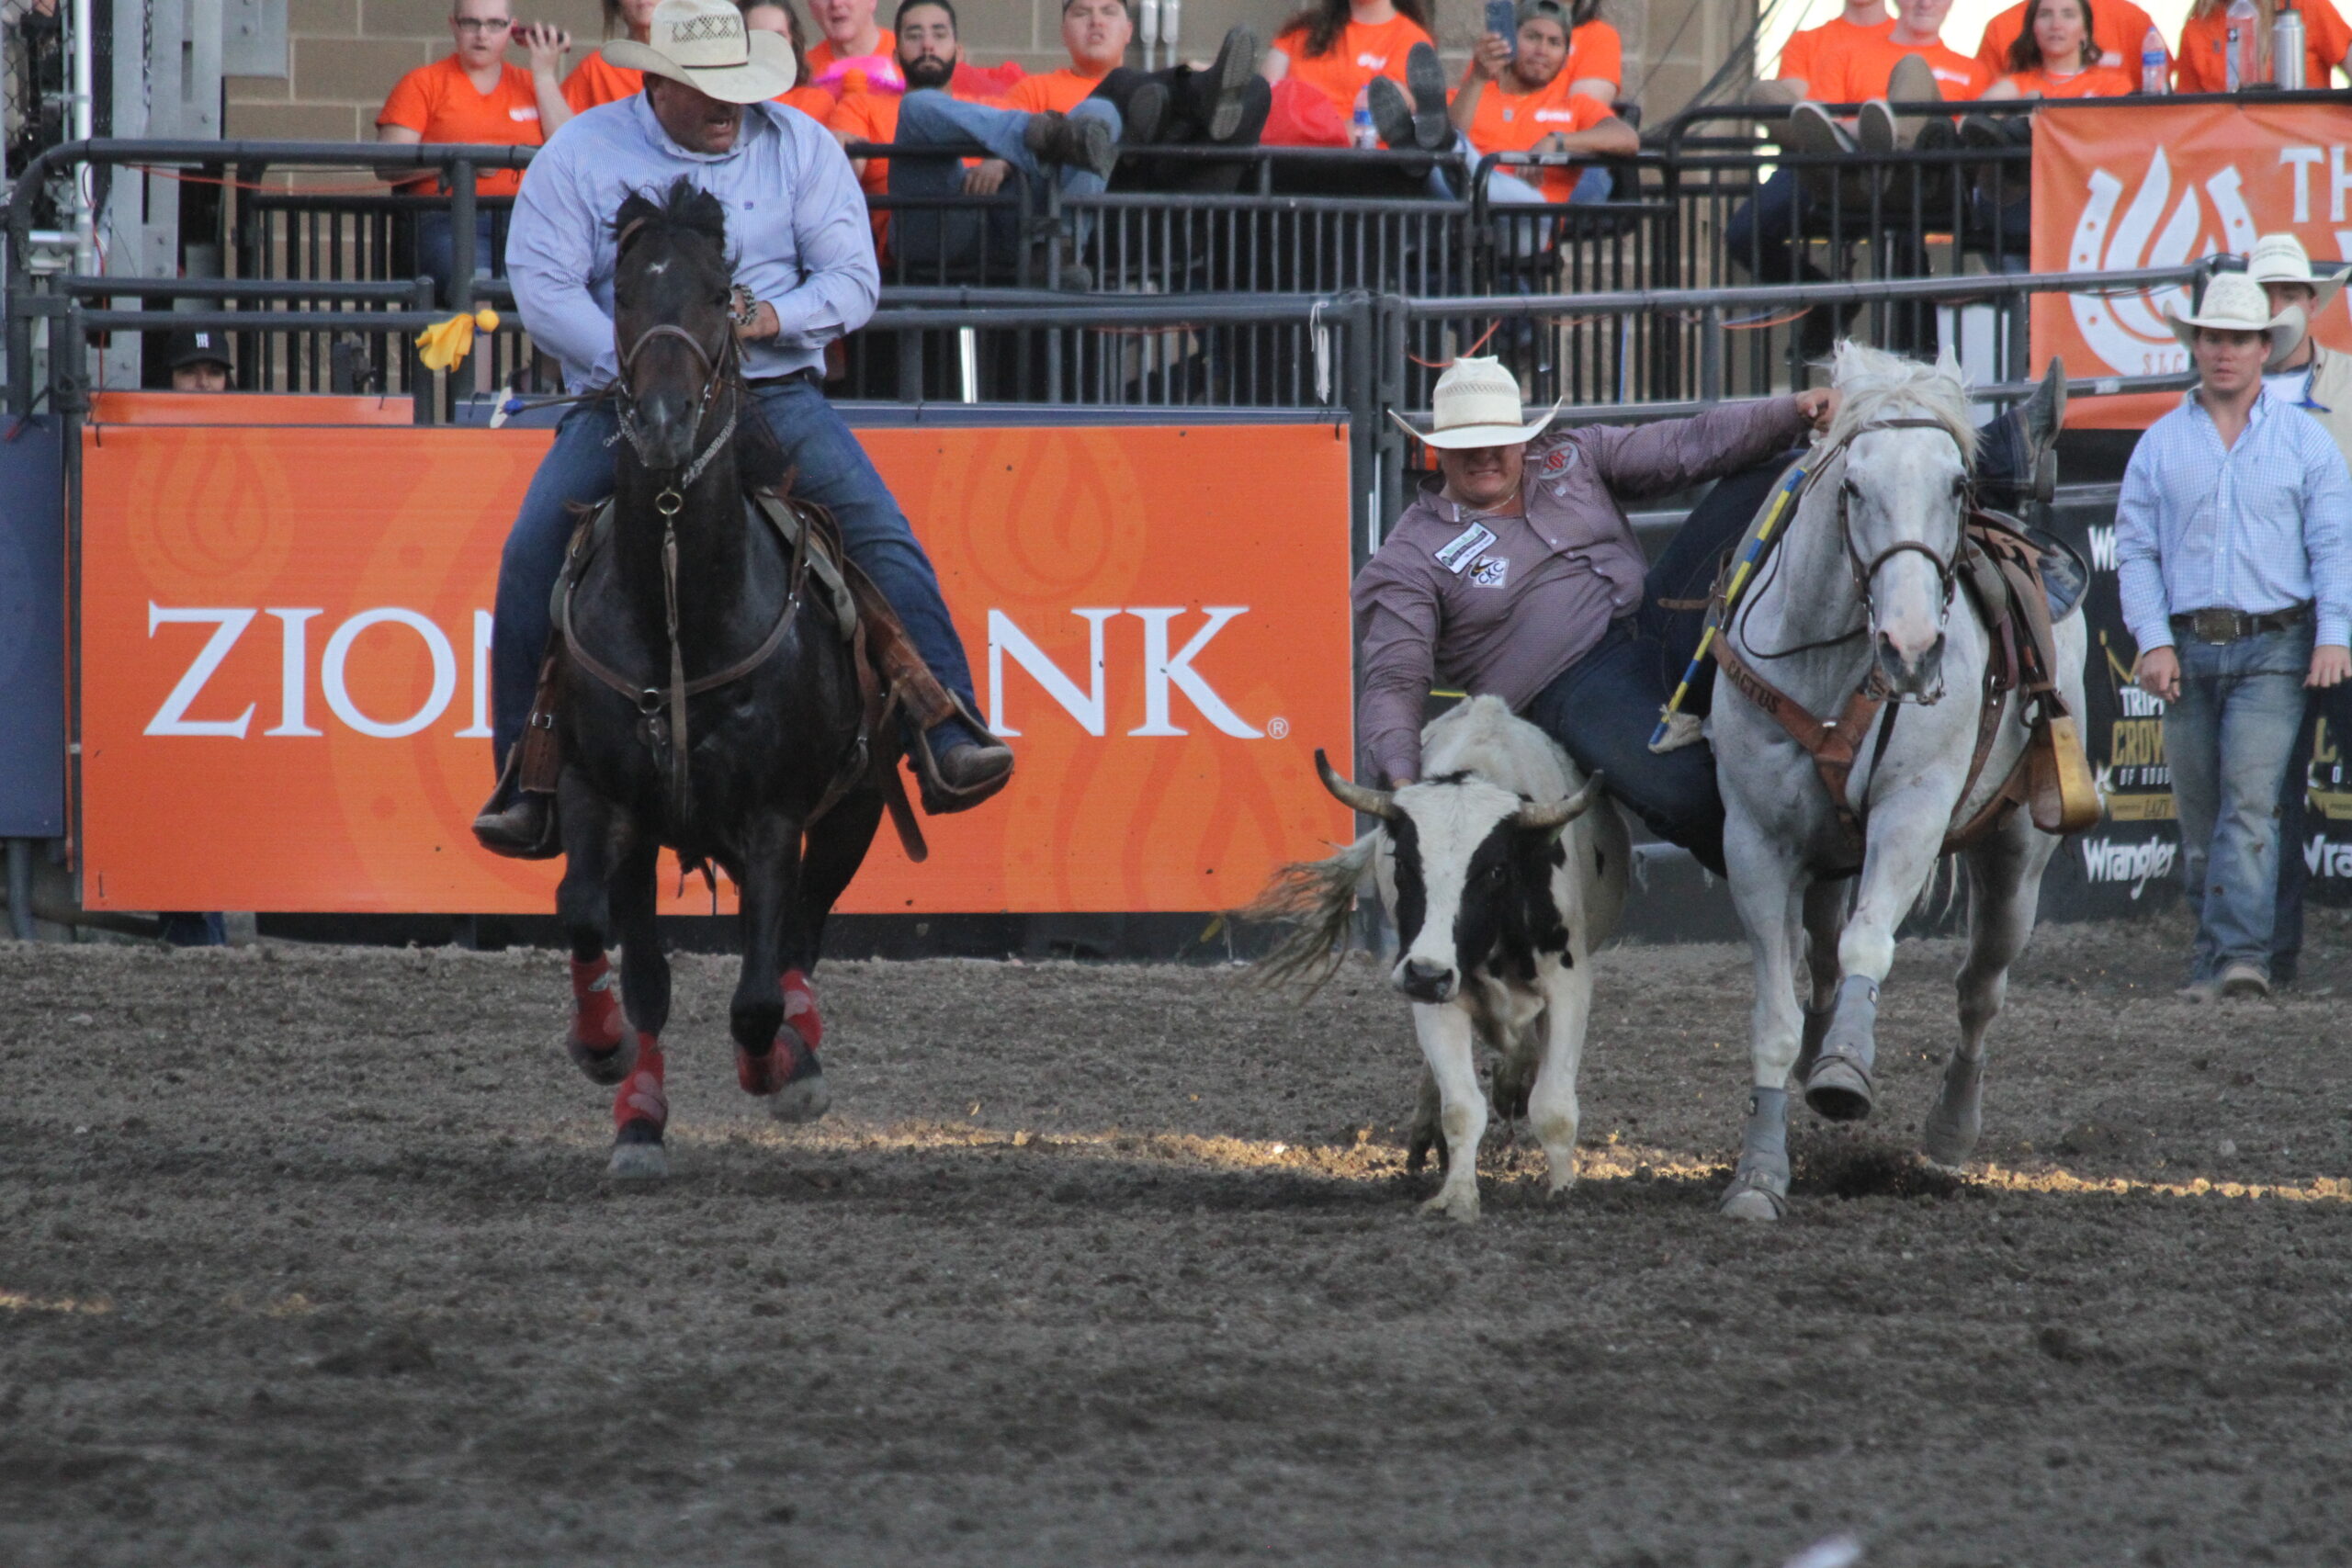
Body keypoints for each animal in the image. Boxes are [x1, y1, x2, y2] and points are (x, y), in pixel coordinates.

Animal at [555, 181, 884, 1175]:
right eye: (623, 294)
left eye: (716, 294)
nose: (664, 423)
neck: (682, 609)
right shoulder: (600, 794)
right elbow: (602, 936)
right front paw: (613, 1068)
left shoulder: (776, 814)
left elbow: (756, 994)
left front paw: (778, 1066)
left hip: (855, 808)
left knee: (798, 936)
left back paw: (798, 1051)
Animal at [1721, 343, 2088, 1222]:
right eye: (1853, 487)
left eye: (1957, 484)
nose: (1913, 647)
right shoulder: (1754, 840)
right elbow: (1775, 1014)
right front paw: (1760, 1171)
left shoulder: (1913, 814)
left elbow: (1870, 942)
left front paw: (1846, 1068)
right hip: (1825, 859)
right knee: (1821, 954)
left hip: (2015, 859)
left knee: (1979, 986)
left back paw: (1950, 1127)